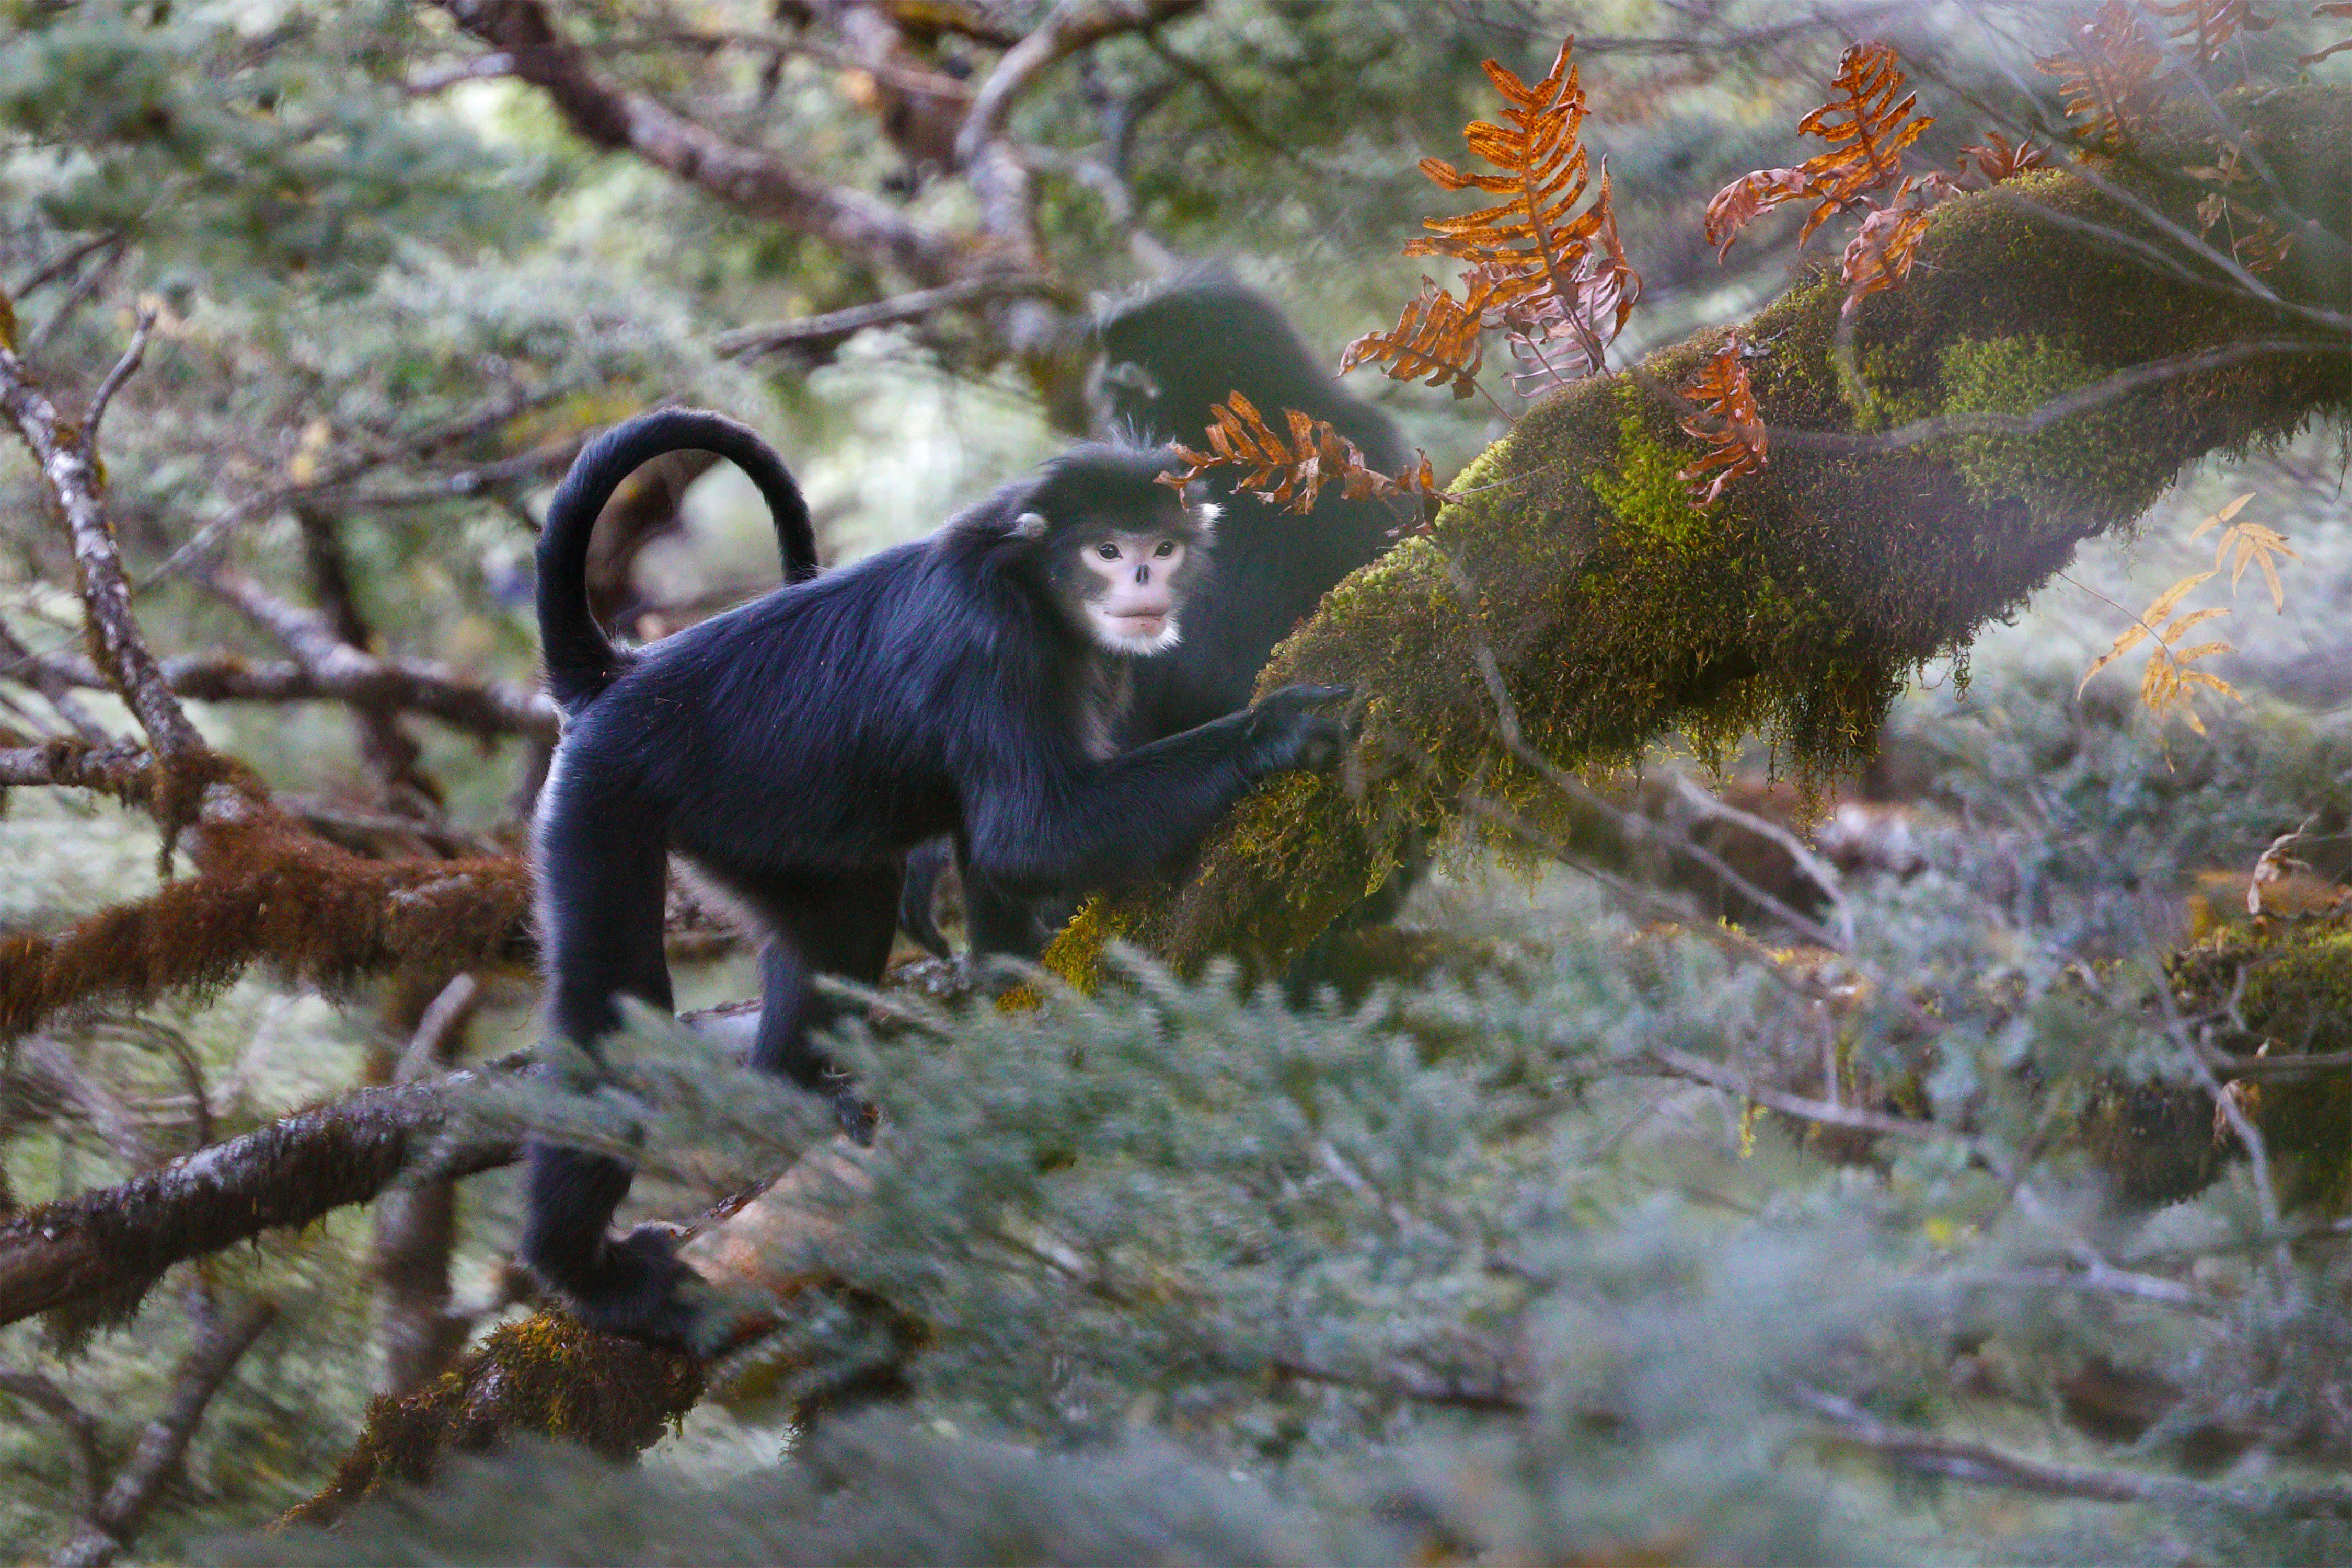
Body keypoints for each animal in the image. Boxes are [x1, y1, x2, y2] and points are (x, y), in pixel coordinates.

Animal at [524, 404, 1355, 1335]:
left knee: (844, 917)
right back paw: (587, 1273)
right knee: (611, 1003)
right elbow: (1027, 836)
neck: (1031, 583)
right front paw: (1273, 731)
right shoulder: (990, 642)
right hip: (603, 800)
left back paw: (791, 1100)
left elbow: (997, 849)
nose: (1143, 575)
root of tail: (618, 682)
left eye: (1163, 547)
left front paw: (1012, 985)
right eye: (1107, 551)